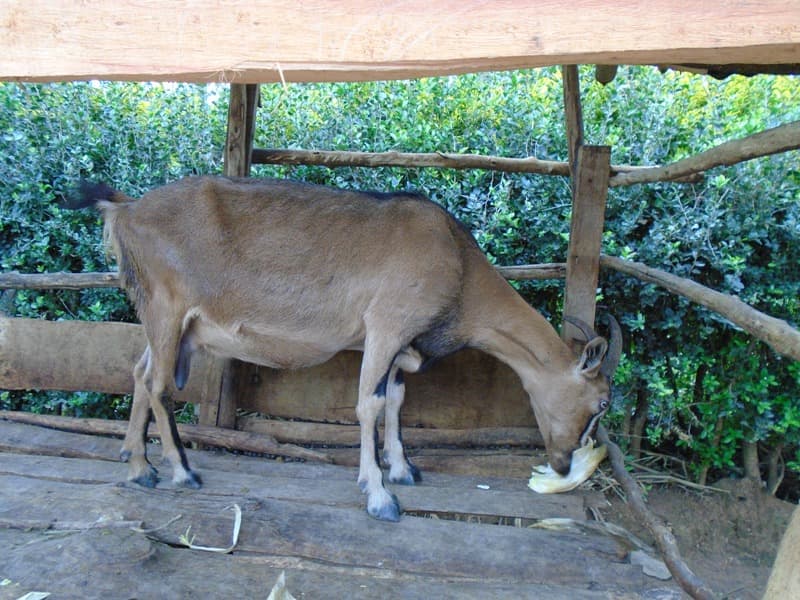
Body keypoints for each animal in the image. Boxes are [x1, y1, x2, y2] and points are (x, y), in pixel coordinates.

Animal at [68, 176, 621, 521]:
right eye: (601, 402)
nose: (563, 465)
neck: (457, 263)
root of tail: (124, 209)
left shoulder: (401, 342)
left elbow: (395, 399)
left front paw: (401, 469)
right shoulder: (386, 324)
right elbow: (369, 404)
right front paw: (379, 496)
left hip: (163, 320)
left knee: (139, 372)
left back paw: (138, 465)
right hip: (167, 307)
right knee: (158, 383)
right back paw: (180, 471)